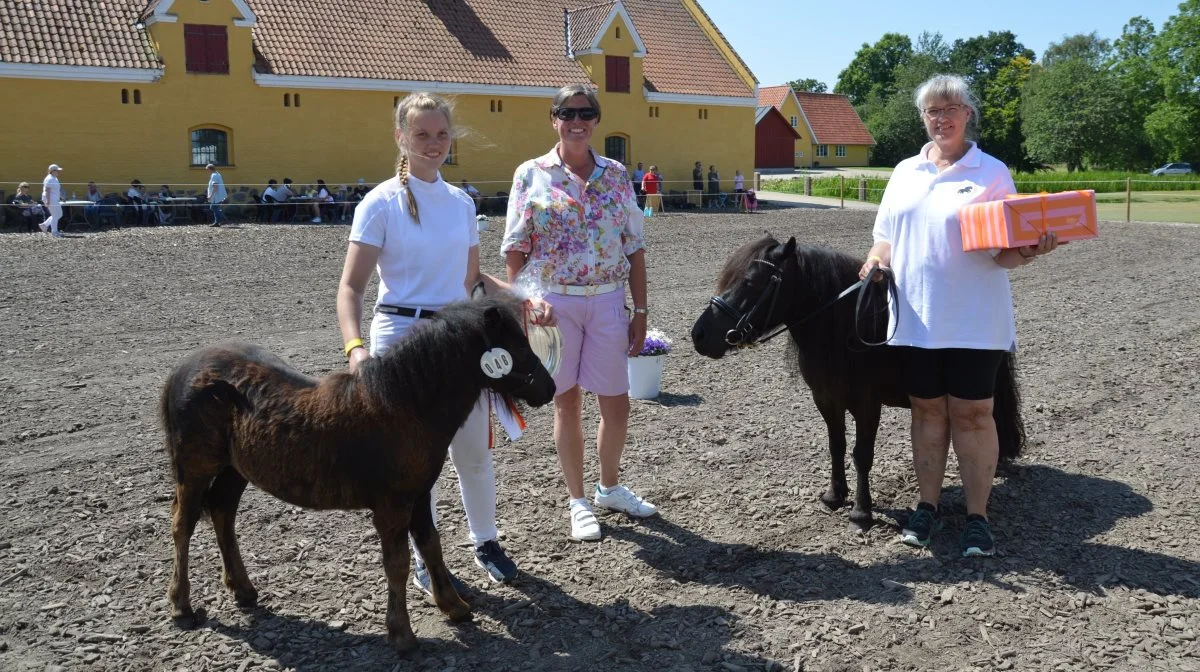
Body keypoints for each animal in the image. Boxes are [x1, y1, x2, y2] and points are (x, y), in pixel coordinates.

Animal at [158, 294, 552, 652]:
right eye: (518, 346)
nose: (548, 389)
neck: (404, 407)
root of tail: (182, 370)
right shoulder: (392, 507)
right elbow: (398, 563)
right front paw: (402, 636)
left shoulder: (419, 495)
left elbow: (431, 545)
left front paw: (454, 606)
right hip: (195, 470)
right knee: (183, 523)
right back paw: (182, 606)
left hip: (234, 469)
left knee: (222, 511)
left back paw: (242, 590)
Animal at [696, 236, 1022, 530]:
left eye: (750, 282)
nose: (699, 335)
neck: (846, 331)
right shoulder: (826, 399)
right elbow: (836, 446)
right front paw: (834, 495)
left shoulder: (867, 405)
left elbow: (862, 455)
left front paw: (861, 512)